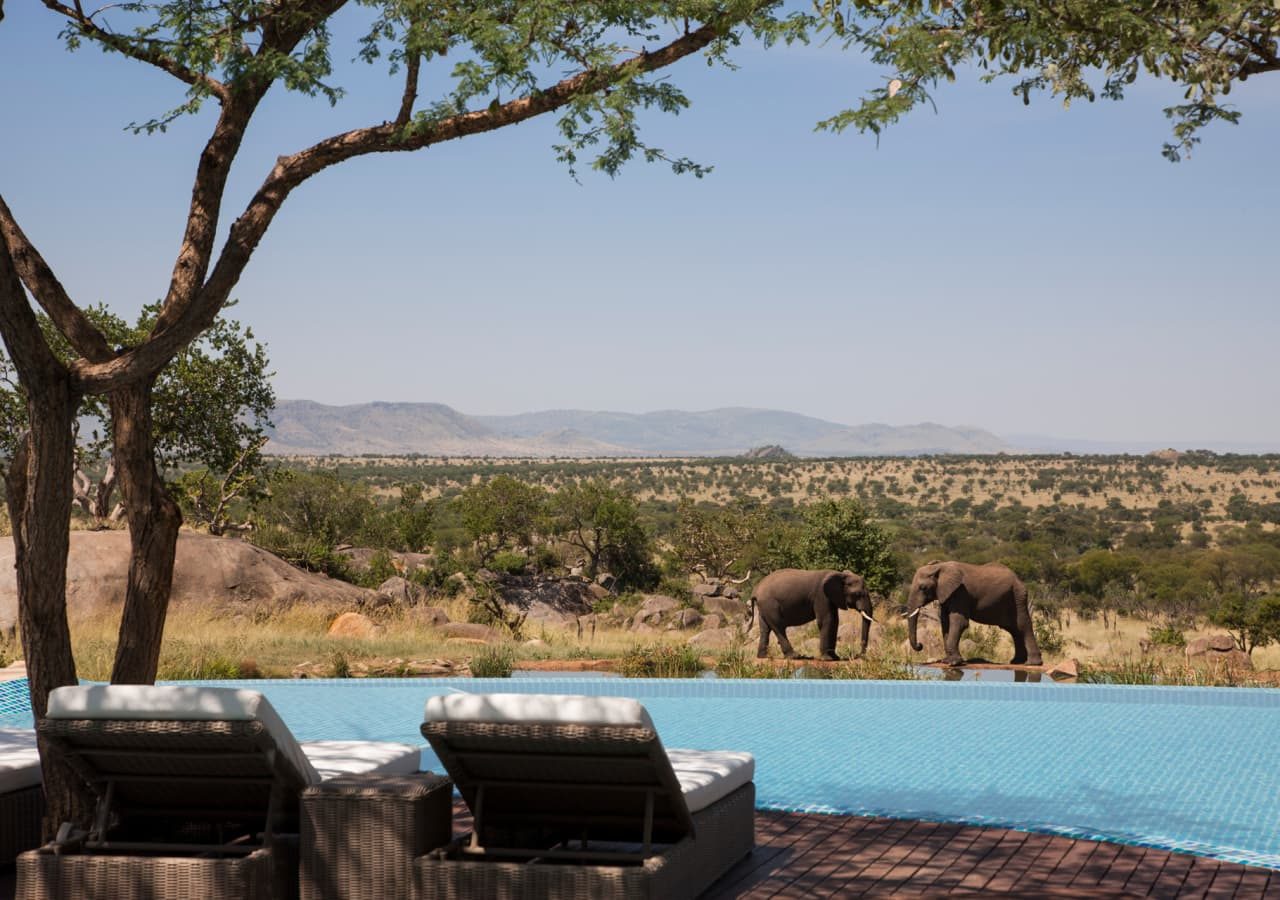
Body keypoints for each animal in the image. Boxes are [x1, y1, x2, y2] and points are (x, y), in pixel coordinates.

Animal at [747, 570, 875, 660]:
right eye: (858, 594)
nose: (859, 655)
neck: (840, 574)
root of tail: (755, 591)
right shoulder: (821, 595)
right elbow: (827, 620)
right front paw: (827, 659)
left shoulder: (830, 598)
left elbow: (834, 621)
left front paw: (835, 657)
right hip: (770, 604)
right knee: (779, 627)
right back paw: (795, 656)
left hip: (764, 606)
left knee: (765, 629)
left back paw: (763, 657)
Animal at [911, 560, 1039, 665]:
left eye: (923, 588)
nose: (920, 645)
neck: (939, 566)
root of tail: (1018, 579)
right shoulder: (946, 594)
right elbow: (945, 622)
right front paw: (947, 661)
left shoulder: (960, 592)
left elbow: (959, 622)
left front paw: (954, 663)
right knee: (1014, 629)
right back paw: (1017, 662)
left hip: (1018, 596)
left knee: (1022, 625)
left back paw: (1032, 663)